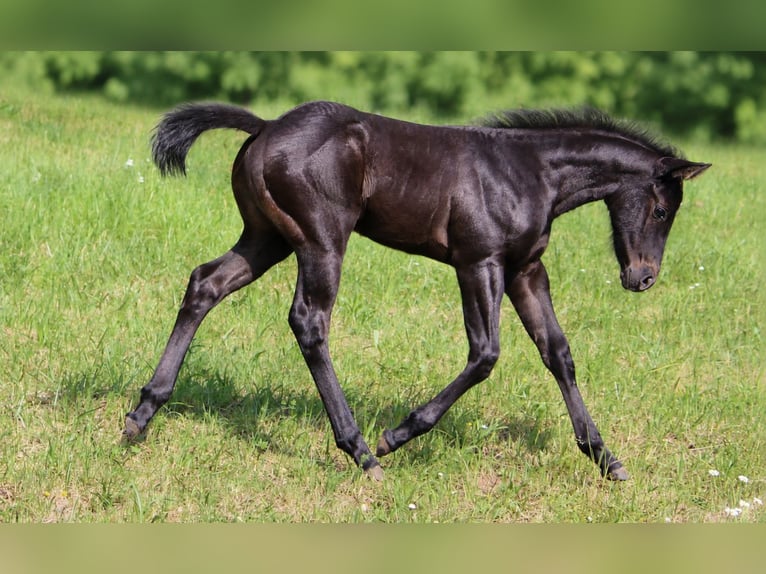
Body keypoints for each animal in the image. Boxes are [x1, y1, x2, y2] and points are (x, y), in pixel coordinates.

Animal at [123, 101, 710, 482]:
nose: (642, 277)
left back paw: (141, 416)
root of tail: (267, 126)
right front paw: (399, 434)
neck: (530, 174)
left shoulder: (526, 270)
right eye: (662, 209)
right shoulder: (478, 263)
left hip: (267, 238)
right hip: (320, 240)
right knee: (309, 321)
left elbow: (558, 353)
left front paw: (606, 458)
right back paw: (363, 452)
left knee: (205, 283)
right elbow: (485, 353)